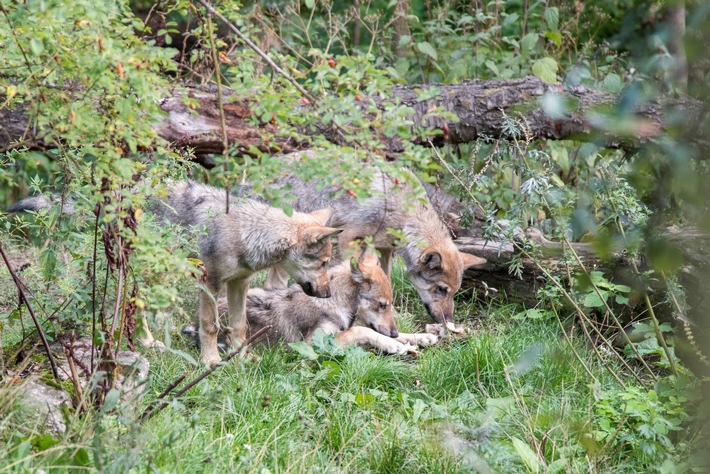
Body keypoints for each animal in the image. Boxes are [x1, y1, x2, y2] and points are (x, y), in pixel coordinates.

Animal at [152, 180, 344, 364]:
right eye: (323, 264)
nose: (328, 294)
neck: (244, 235)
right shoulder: (210, 283)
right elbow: (210, 326)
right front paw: (210, 360)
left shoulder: (240, 282)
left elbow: (239, 326)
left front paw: (241, 358)